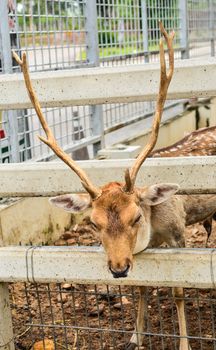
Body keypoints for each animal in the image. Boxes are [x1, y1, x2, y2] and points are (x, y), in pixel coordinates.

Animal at [13, 22, 216, 350]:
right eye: (94, 223)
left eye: (136, 216)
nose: (118, 268)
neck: (153, 229)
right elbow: (143, 288)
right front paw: (135, 336)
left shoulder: (178, 234)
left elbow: (178, 291)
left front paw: (184, 343)